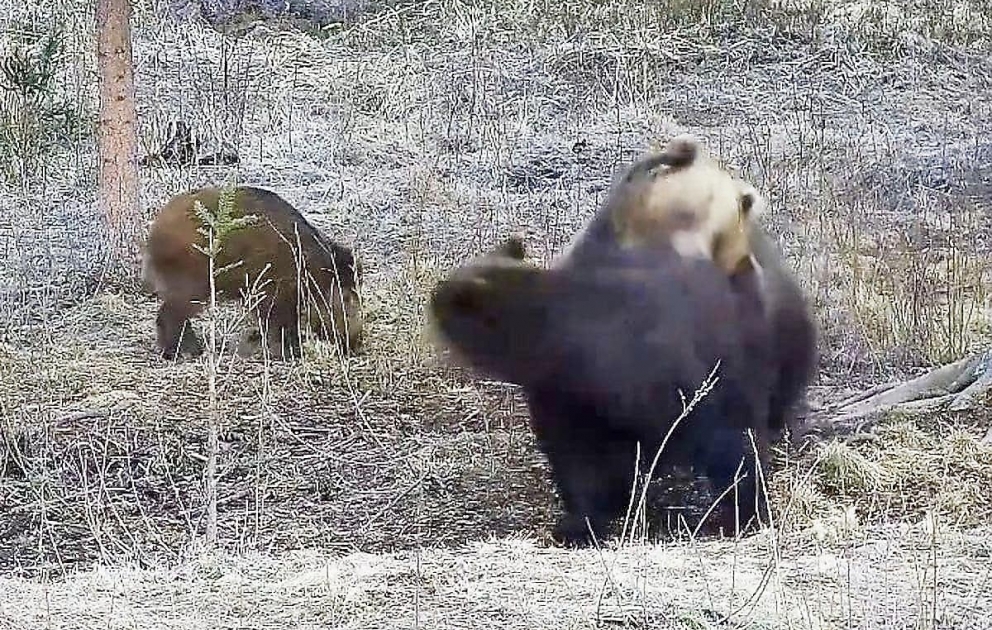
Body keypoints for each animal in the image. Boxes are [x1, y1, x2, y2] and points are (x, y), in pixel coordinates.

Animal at [141, 185, 363, 360]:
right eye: (348, 297)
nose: (356, 344)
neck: (310, 270)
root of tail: (155, 232)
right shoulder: (275, 295)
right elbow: (282, 326)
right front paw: (291, 353)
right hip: (192, 286)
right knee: (169, 315)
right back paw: (183, 352)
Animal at [429, 236, 778, 547]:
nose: (432, 293)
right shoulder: (560, 397)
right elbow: (577, 461)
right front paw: (580, 524)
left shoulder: (655, 380)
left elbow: (719, 439)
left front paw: (741, 513)